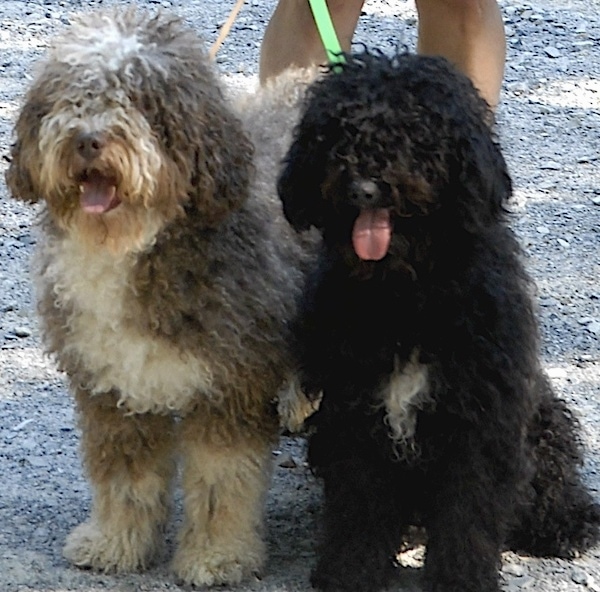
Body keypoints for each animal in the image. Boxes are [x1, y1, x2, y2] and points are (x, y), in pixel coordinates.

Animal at [4, 9, 314, 588]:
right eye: (73, 95)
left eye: (142, 99)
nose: (88, 140)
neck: (131, 248)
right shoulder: (113, 388)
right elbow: (126, 476)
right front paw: (115, 543)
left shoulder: (227, 386)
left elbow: (222, 482)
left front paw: (217, 555)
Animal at [278, 49, 600, 592]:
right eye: (336, 132)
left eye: (416, 131)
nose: (364, 187)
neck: (407, 294)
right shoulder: (354, 415)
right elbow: (359, 511)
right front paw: (351, 572)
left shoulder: (478, 423)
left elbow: (467, 516)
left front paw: (461, 579)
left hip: (543, 424)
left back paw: (568, 527)